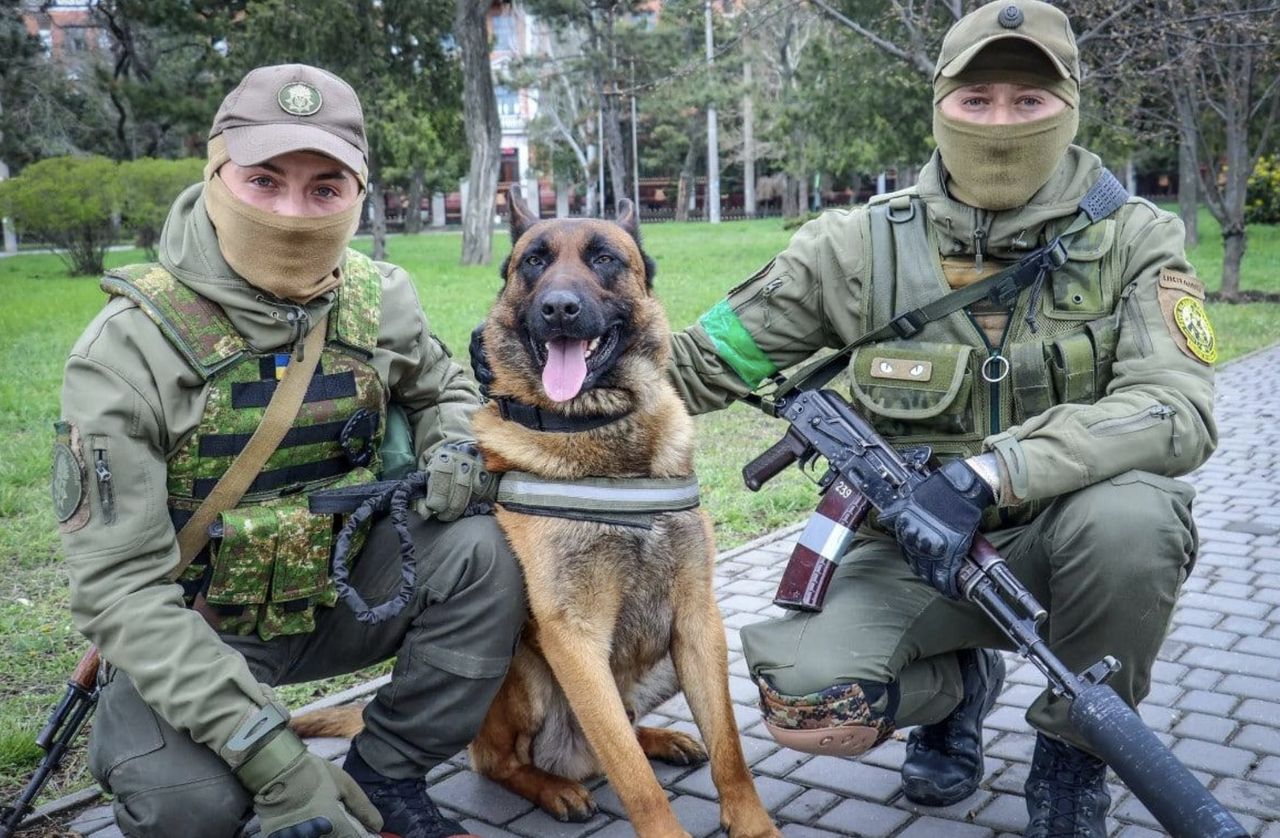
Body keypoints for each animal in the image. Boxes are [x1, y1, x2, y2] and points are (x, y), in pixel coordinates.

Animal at [294, 190, 773, 838]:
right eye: (534, 261)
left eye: (603, 258)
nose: (560, 309)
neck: (598, 435)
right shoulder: (573, 637)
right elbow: (637, 783)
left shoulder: (700, 619)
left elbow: (729, 750)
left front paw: (754, 824)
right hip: (518, 669)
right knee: (502, 759)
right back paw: (554, 788)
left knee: (622, 729)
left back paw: (658, 738)